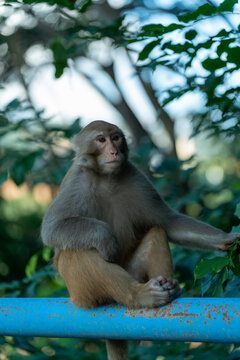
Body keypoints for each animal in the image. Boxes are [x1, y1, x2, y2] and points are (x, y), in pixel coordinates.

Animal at [40, 121, 238, 360]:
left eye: (115, 137)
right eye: (101, 140)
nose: (114, 151)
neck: (106, 177)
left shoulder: (136, 177)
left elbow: (168, 223)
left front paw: (226, 240)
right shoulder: (77, 182)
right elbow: (53, 228)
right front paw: (105, 237)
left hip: (132, 272)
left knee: (156, 232)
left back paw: (167, 289)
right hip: (82, 294)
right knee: (77, 252)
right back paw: (138, 295)